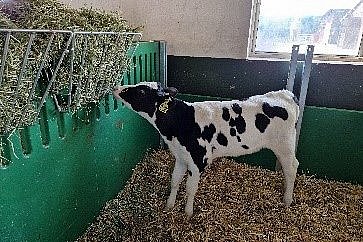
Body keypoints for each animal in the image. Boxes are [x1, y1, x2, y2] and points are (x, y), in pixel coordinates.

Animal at [114, 82, 302, 217]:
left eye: (141, 92)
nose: (116, 88)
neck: (182, 121)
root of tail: (285, 94)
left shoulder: (198, 160)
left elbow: (190, 188)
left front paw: (188, 213)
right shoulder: (180, 157)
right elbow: (174, 181)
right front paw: (169, 205)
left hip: (284, 145)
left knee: (292, 167)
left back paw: (287, 199)